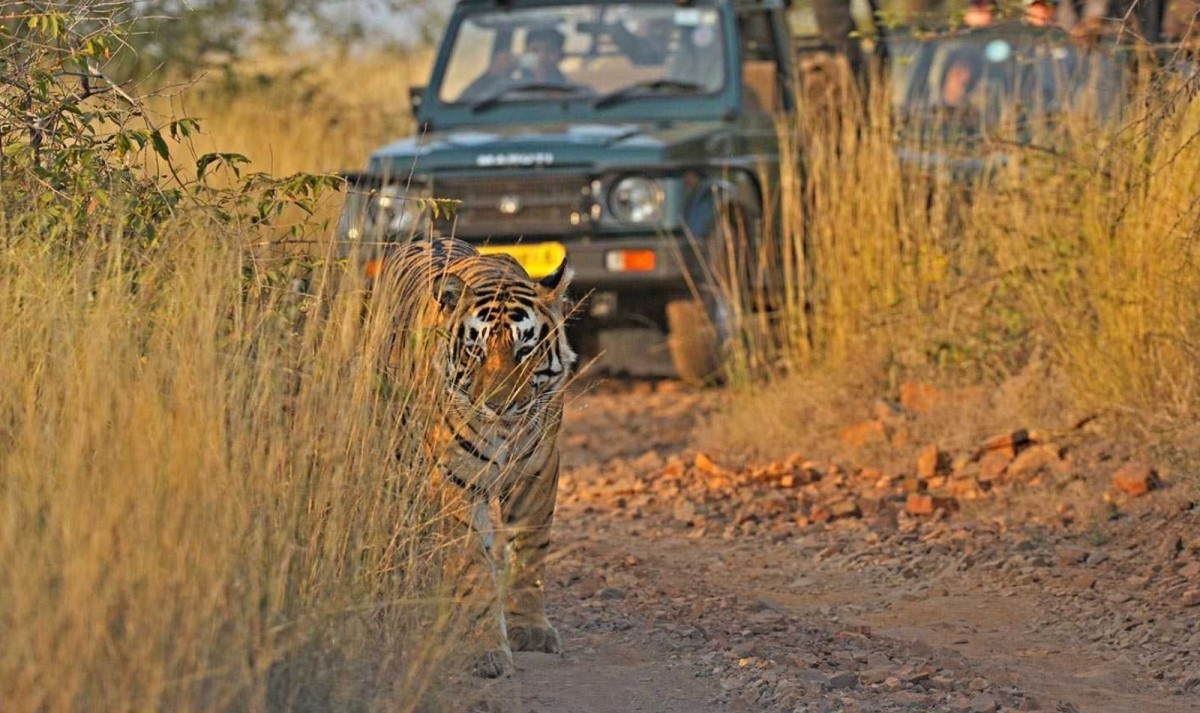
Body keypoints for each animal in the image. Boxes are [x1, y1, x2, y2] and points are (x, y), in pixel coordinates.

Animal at [375, 237, 576, 678]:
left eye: (524, 351)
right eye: (476, 351)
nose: (499, 405)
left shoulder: (538, 470)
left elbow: (530, 552)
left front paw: (530, 629)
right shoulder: (453, 478)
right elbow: (472, 568)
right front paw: (484, 649)